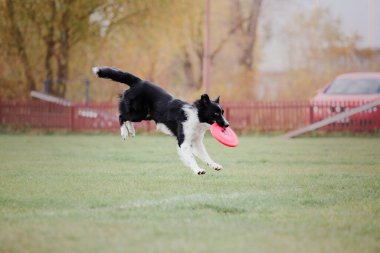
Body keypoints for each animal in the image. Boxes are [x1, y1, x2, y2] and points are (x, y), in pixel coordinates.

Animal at [92, 66, 229, 175]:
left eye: (222, 112)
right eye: (216, 114)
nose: (227, 125)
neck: (196, 117)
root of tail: (138, 81)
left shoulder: (196, 142)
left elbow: (205, 155)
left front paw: (215, 165)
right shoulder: (184, 142)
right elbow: (191, 158)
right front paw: (198, 170)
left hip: (144, 115)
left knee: (126, 118)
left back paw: (131, 131)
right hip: (139, 113)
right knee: (121, 116)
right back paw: (125, 133)